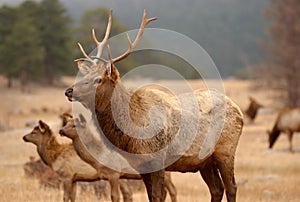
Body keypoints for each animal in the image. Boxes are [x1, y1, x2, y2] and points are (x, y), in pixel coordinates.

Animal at [64, 9, 243, 202]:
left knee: (231, 187)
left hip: (226, 150)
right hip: (204, 161)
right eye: (85, 76)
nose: (69, 90)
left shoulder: (158, 158)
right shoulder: (141, 165)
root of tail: (239, 110)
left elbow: (158, 195)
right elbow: (151, 196)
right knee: (216, 189)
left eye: (98, 79)